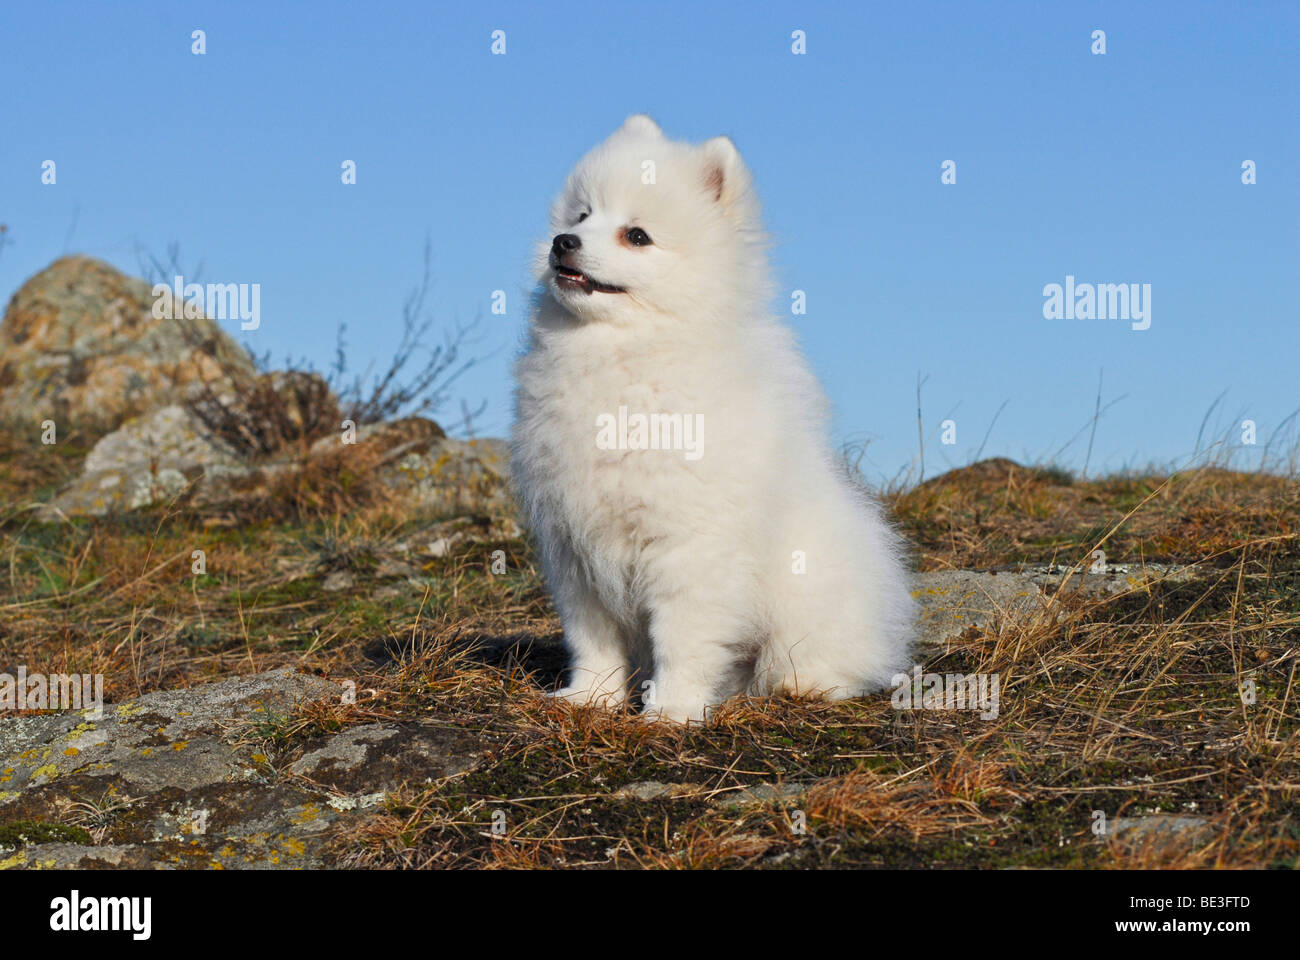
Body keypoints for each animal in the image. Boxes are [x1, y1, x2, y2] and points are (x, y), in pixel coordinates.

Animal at [506, 115, 915, 718]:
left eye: (636, 235)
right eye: (582, 216)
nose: (564, 242)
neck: (625, 355)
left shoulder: (690, 545)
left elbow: (681, 638)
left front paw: (671, 711)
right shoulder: (575, 547)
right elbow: (592, 638)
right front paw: (590, 697)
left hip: (814, 597)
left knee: (822, 660)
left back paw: (803, 685)